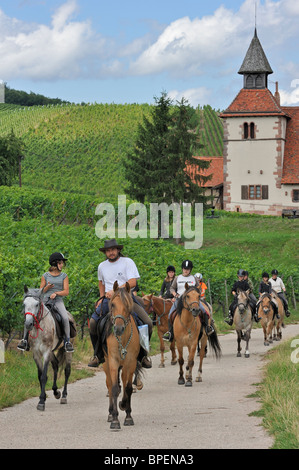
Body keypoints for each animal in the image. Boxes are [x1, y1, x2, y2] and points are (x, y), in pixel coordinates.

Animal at [103, 280, 142, 432]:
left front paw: (127, 414)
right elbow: (114, 389)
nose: (118, 329)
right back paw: (110, 414)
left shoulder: (130, 363)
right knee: (109, 385)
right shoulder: (113, 361)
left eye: (127, 305)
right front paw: (115, 420)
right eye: (113, 304)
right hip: (106, 364)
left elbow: (128, 389)